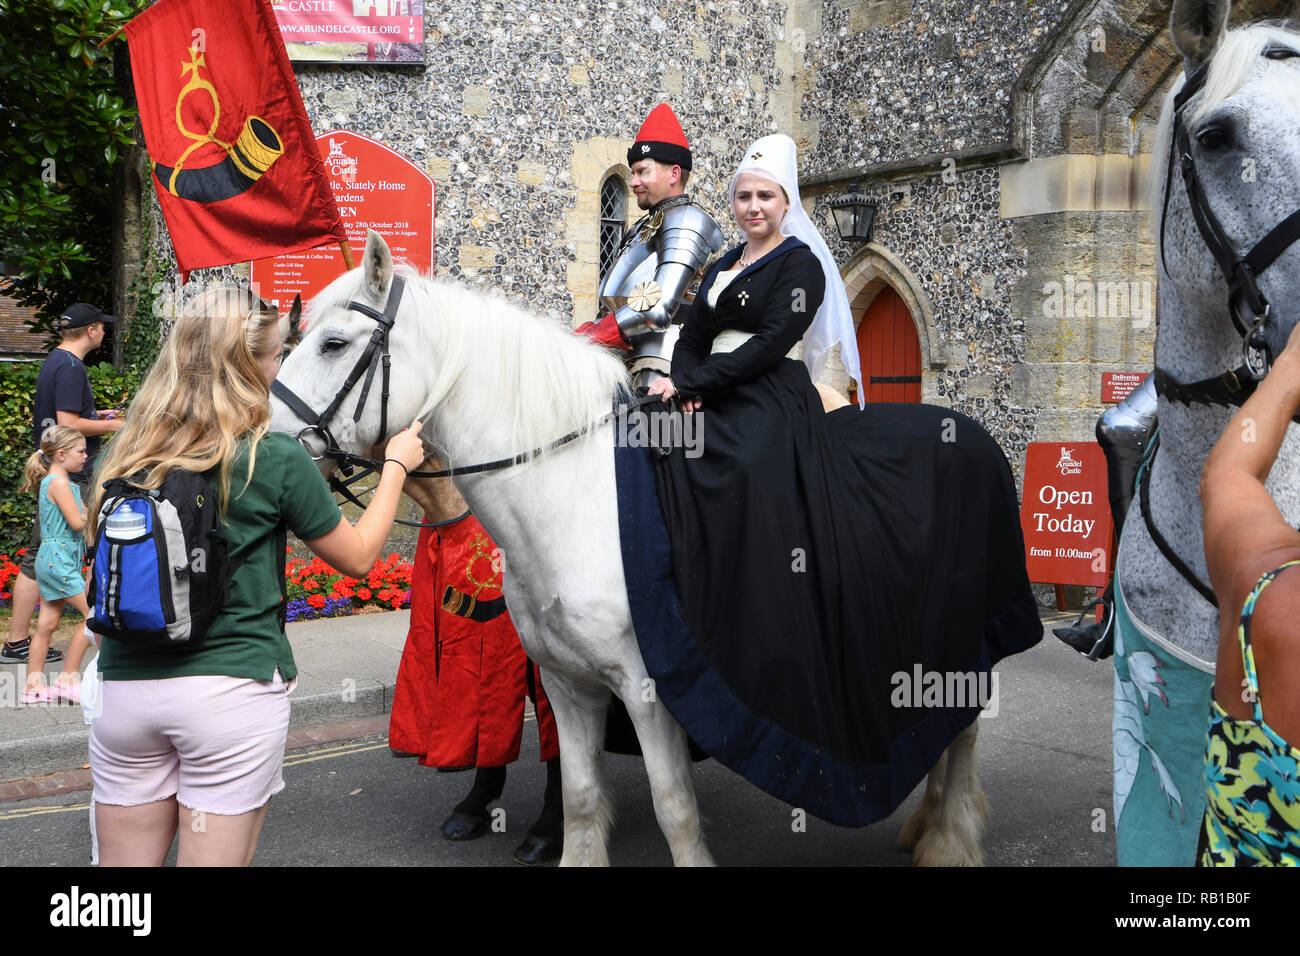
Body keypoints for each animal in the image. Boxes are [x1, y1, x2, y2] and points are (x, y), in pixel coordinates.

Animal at [271, 234, 982, 868]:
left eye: (333, 343)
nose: (268, 444)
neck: (573, 498)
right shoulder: (566, 682)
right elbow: (582, 797)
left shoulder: (648, 690)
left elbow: (675, 809)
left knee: (963, 732)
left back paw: (948, 841)